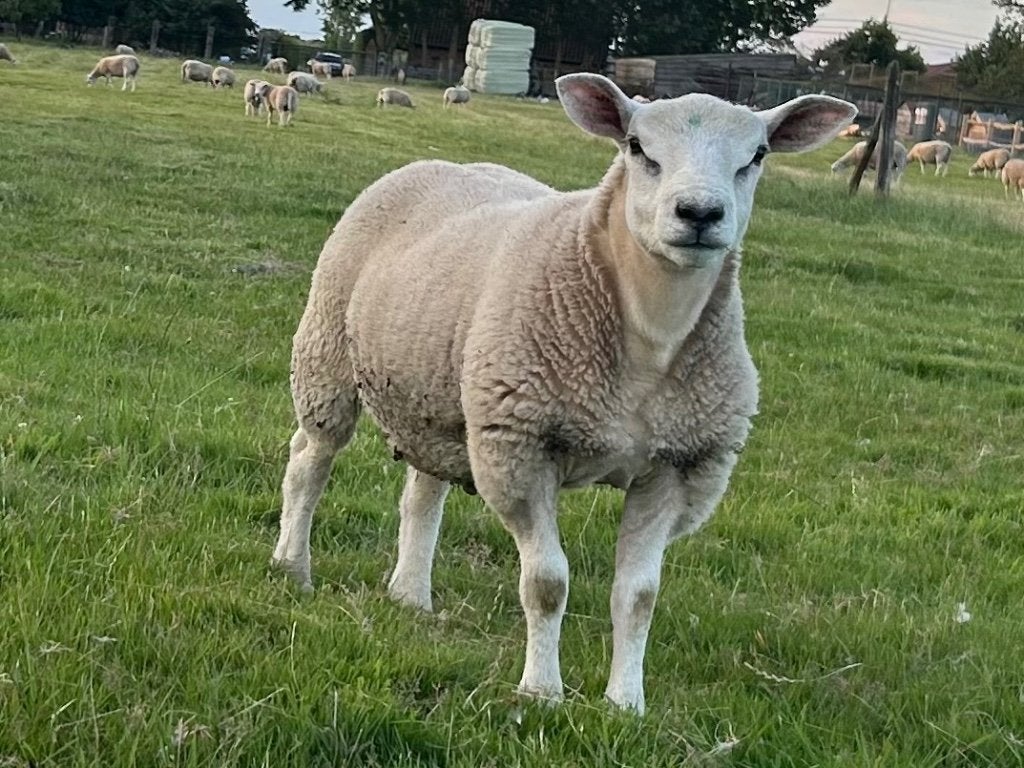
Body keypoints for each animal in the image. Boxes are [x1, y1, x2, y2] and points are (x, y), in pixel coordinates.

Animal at [272, 72, 856, 713]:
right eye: (636, 147)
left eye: (757, 155)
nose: (700, 212)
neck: (649, 340)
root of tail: (441, 162)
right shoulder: (523, 450)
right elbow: (547, 583)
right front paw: (541, 691)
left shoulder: (676, 466)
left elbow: (639, 595)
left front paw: (626, 704)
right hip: (327, 354)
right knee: (309, 462)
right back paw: (293, 566)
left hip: (442, 397)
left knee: (423, 492)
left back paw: (410, 595)